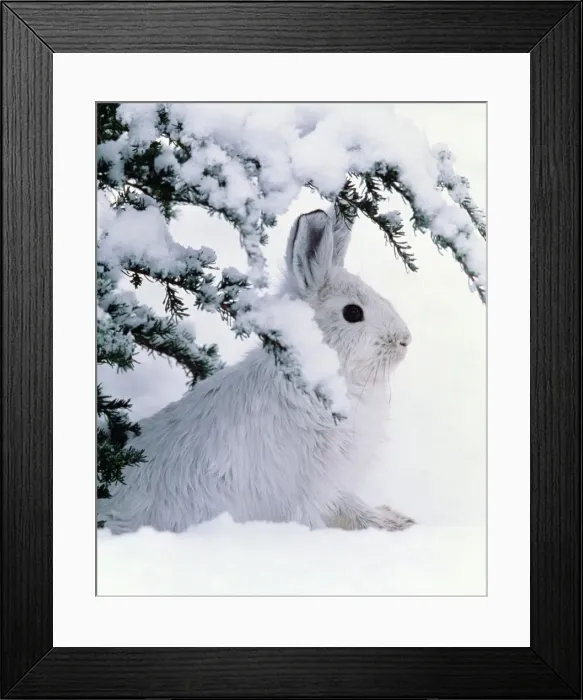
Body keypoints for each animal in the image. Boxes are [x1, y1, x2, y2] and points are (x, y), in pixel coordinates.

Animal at [101, 208, 415, 535]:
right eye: (352, 312)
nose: (405, 339)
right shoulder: (304, 486)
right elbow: (312, 519)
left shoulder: (333, 485)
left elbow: (351, 505)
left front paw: (395, 522)